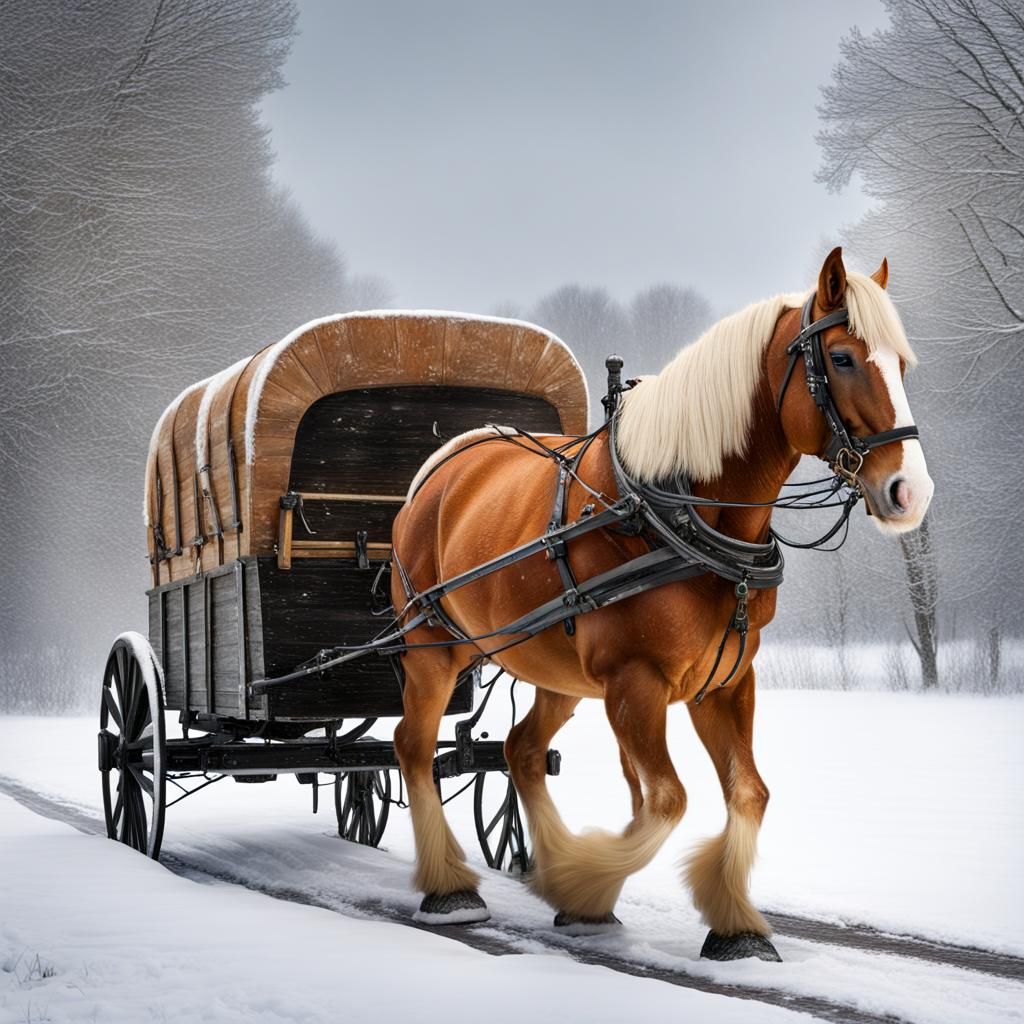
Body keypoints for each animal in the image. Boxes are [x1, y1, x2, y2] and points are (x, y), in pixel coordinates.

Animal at [389, 247, 934, 960]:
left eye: (901, 364)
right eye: (842, 358)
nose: (910, 491)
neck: (677, 511)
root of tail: (444, 462)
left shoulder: (724, 682)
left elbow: (747, 792)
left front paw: (729, 924)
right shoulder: (635, 682)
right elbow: (668, 799)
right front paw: (587, 883)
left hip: (556, 672)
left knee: (522, 751)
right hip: (431, 647)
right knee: (412, 746)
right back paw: (449, 888)